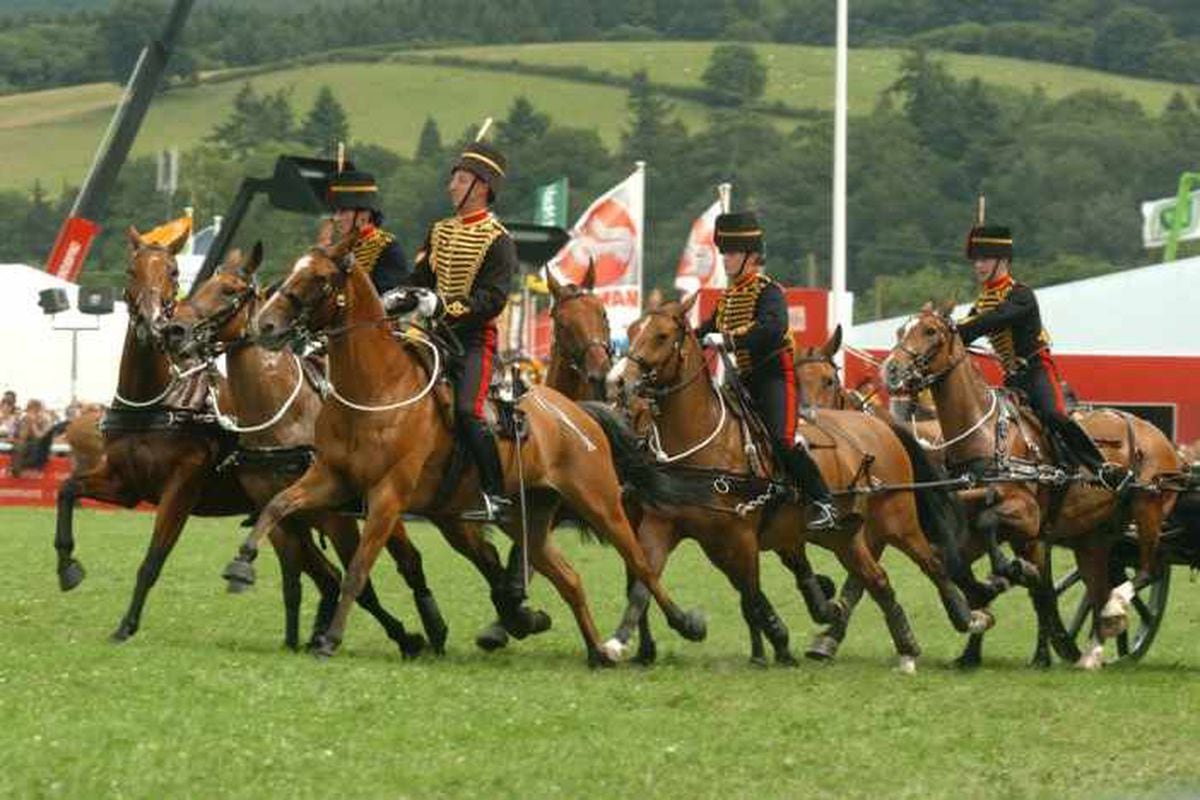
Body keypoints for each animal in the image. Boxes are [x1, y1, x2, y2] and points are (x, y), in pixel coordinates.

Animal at [220, 230, 705, 662]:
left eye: (319, 278)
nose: (265, 325)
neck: (377, 390)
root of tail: (581, 414)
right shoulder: (330, 479)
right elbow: (278, 506)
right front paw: (241, 564)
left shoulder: (387, 498)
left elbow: (358, 569)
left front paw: (330, 639)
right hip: (527, 521)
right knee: (569, 578)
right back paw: (596, 652)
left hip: (601, 505)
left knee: (641, 564)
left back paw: (682, 623)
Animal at [604, 296, 988, 671]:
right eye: (633, 330)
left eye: (662, 336)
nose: (618, 381)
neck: (702, 441)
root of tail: (883, 428)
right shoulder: (663, 526)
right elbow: (644, 583)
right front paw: (622, 641)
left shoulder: (740, 538)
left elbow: (752, 594)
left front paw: (778, 638)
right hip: (844, 537)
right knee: (878, 580)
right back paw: (905, 648)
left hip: (898, 523)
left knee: (932, 564)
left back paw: (967, 617)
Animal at [883, 307, 1180, 671]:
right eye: (901, 330)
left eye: (930, 331)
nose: (891, 369)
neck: (986, 435)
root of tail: (1160, 437)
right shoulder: (979, 532)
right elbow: (959, 568)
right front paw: (972, 646)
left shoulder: (1027, 518)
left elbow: (996, 536)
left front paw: (1009, 573)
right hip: (1094, 536)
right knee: (1098, 587)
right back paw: (1093, 650)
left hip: (1148, 509)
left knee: (1149, 569)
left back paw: (1115, 606)